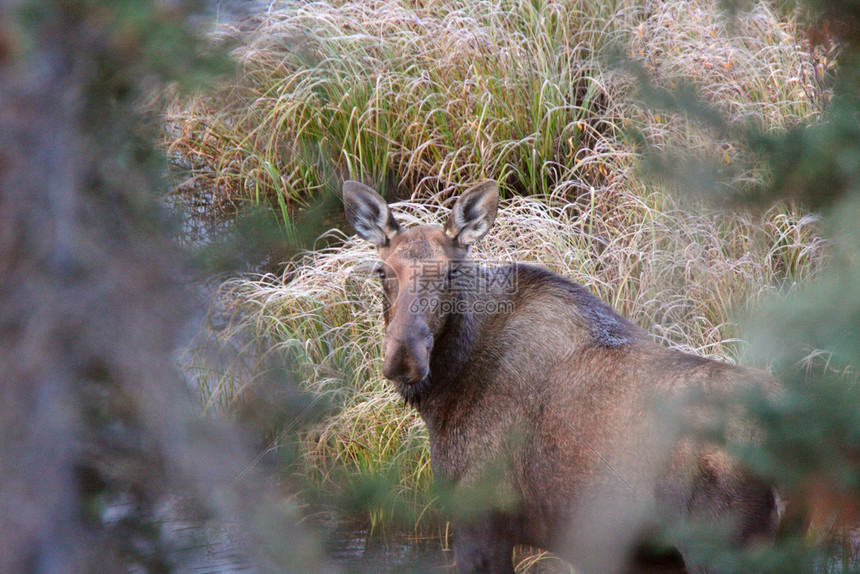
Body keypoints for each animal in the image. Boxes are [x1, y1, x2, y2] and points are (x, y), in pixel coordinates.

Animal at [340, 181, 780, 574]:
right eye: (381, 271)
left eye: (450, 273)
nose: (404, 358)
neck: (446, 393)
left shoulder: (479, 518)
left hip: (719, 547)